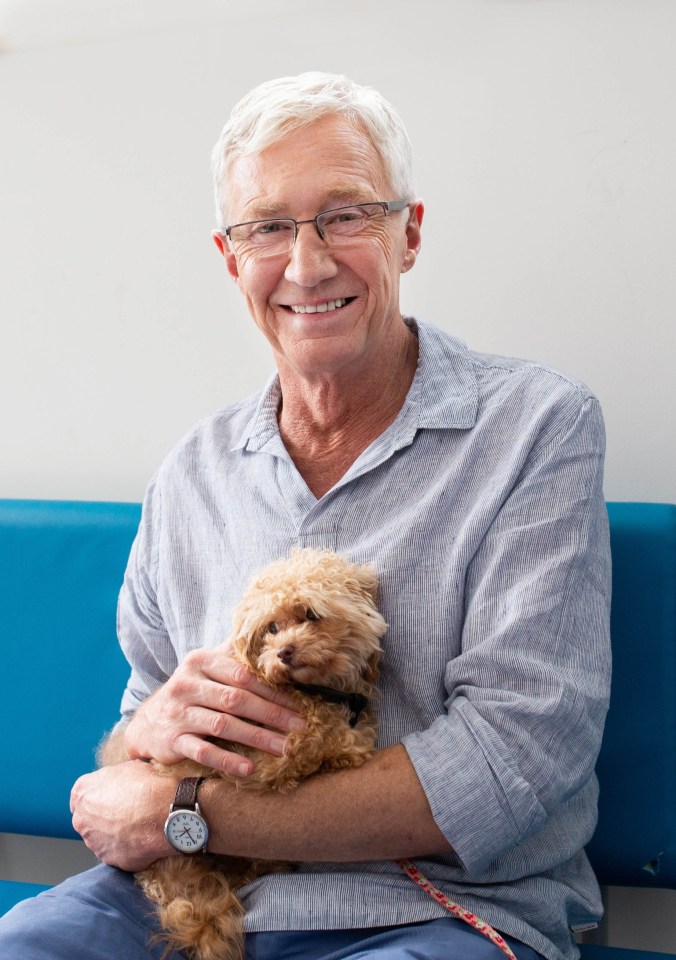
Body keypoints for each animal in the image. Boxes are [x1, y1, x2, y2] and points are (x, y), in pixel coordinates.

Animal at [134, 548, 386, 960]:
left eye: (310, 614)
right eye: (271, 628)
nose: (283, 652)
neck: (316, 692)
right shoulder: (265, 760)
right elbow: (318, 743)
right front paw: (348, 746)